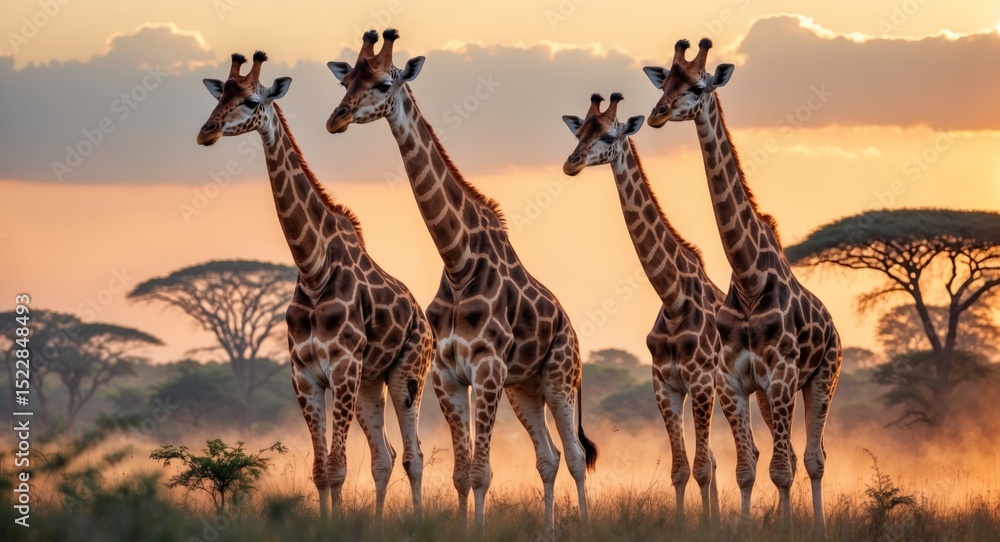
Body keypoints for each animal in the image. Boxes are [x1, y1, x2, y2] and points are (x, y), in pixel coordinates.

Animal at [196, 51, 434, 520]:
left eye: (251, 101)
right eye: (219, 97)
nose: (206, 131)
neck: (312, 268)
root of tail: (423, 318)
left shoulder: (340, 368)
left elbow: (338, 466)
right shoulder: (304, 376)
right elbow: (321, 470)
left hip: (406, 375)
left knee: (414, 456)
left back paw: (418, 521)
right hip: (369, 384)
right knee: (386, 456)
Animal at [324, 30, 598, 533]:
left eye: (384, 84)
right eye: (346, 80)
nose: (338, 118)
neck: (457, 261)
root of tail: (571, 330)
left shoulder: (486, 368)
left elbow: (481, 471)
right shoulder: (448, 375)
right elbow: (460, 471)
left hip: (559, 379)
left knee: (573, 456)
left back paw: (582, 526)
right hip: (524, 388)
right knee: (548, 457)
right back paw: (548, 528)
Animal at [560, 92, 724, 524]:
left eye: (609, 134)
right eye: (579, 132)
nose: (572, 163)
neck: (673, 297)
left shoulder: (700, 382)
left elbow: (700, 466)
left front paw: (708, 527)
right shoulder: (664, 383)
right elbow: (682, 469)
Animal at [642, 38, 842, 534]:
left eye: (698, 85)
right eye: (664, 82)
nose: (657, 113)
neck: (750, 278)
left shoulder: (781, 374)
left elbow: (782, 468)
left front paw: (786, 530)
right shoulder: (734, 380)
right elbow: (748, 468)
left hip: (822, 377)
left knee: (814, 458)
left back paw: (817, 526)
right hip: (774, 394)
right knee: (789, 454)